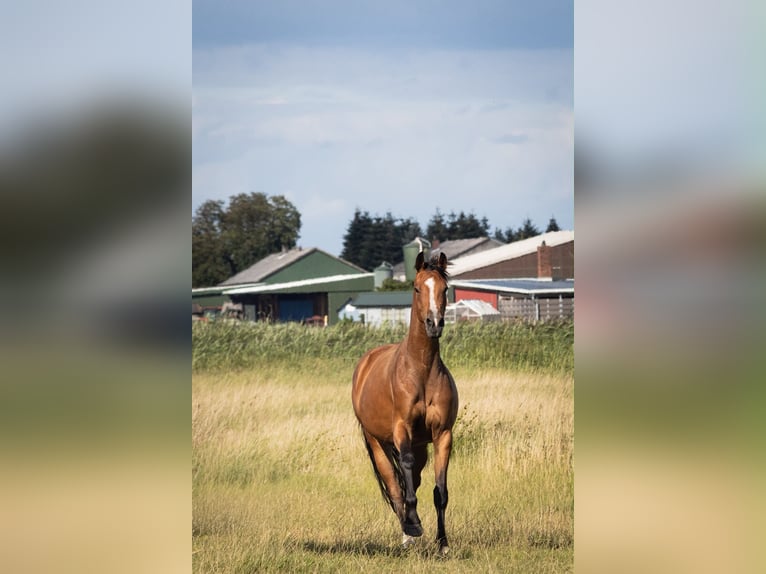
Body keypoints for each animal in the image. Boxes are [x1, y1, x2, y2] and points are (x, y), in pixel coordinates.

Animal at [351, 251, 458, 555]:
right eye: (417, 288)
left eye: (445, 289)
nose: (434, 324)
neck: (421, 370)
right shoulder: (402, 430)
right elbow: (404, 474)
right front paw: (413, 526)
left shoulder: (443, 435)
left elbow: (440, 491)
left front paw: (443, 544)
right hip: (377, 442)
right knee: (395, 485)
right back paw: (407, 533)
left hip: (421, 445)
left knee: (414, 480)